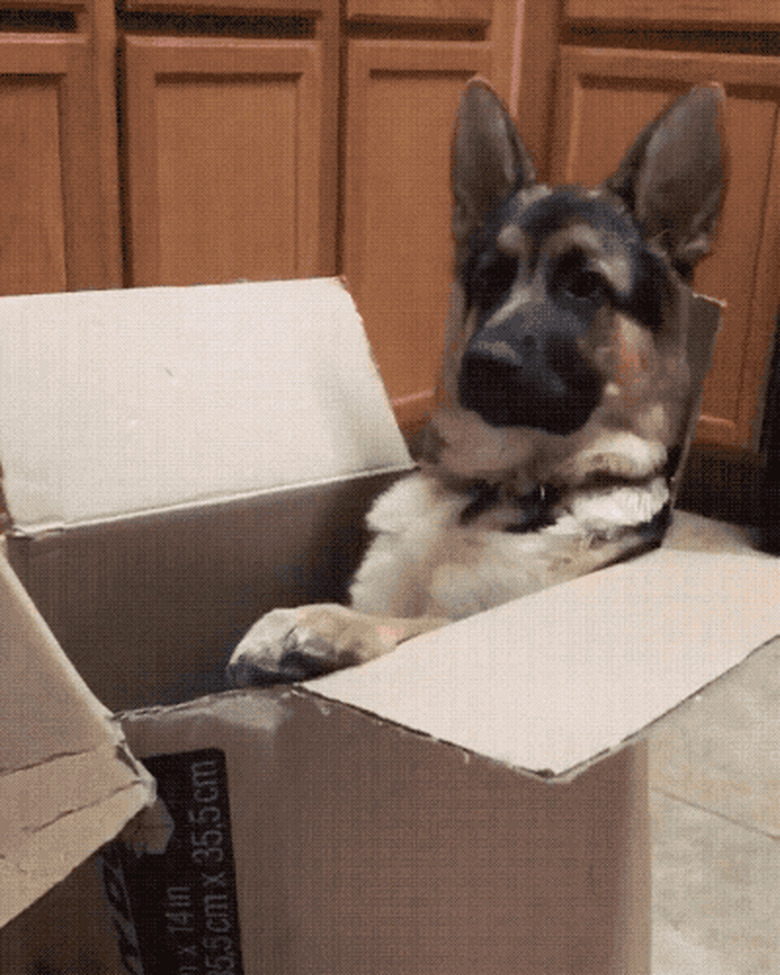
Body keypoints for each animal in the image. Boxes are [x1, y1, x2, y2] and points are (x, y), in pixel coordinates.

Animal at [227, 80, 724, 688]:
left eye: (585, 285)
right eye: (489, 278)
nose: (483, 361)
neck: (501, 490)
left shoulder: (468, 621)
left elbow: (418, 624)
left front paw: (320, 622)